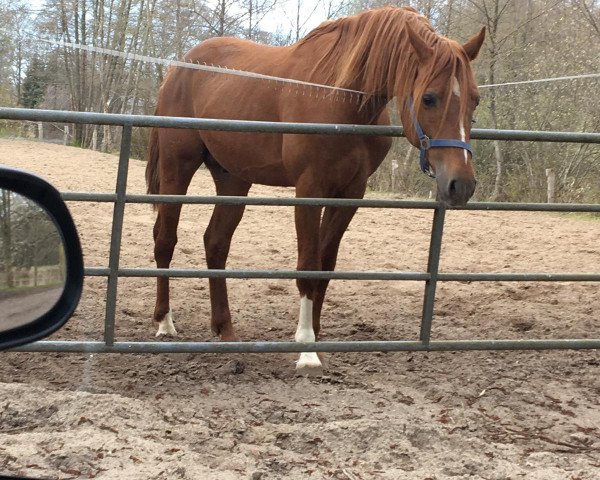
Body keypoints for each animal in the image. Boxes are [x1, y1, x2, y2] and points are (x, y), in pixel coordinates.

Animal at [146, 7, 488, 374]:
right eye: (429, 98)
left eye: (475, 99)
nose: (461, 184)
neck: (340, 98)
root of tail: (180, 66)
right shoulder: (309, 189)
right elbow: (308, 266)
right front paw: (307, 351)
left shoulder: (350, 193)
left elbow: (325, 266)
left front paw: (316, 336)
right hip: (177, 168)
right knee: (165, 240)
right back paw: (164, 323)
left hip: (233, 179)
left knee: (215, 243)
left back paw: (225, 330)